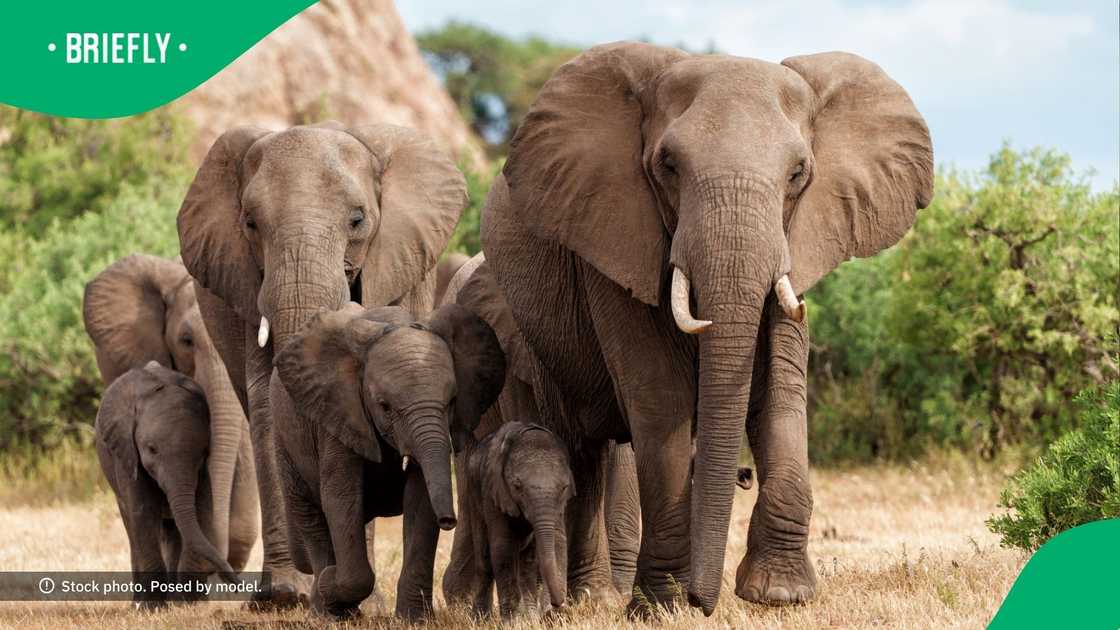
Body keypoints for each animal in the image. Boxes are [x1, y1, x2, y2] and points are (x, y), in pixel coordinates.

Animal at [95, 362, 239, 608]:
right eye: (152, 449)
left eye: (203, 452)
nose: (238, 584)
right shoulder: (125, 452)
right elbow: (143, 511)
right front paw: (151, 608)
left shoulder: (202, 471)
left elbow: (200, 509)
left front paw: (191, 603)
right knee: (133, 529)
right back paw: (139, 603)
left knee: (173, 531)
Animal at [272, 303, 505, 619]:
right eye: (384, 406)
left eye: (452, 402)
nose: (449, 520)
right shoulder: (339, 413)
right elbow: (340, 498)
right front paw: (331, 582)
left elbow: (420, 500)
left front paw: (415, 619)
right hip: (284, 438)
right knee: (311, 516)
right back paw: (327, 607)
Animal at [459, 421, 574, 618]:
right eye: (517, 486)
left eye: (564, 487)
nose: (558, 604)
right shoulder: (493, 491)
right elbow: (503, 547)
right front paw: (513, 622)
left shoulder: (559, 505)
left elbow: (558, 540)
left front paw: (549, 617)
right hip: (473, 492)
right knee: (485, 558)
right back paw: (480, 619)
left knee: (527, 562)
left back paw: (531, 617)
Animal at [479, 42, 933, 615]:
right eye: (668, 166)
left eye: (798, 173)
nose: (706, 600)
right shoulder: (614, 235)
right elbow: (660, 397)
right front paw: (664, 606)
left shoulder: (796, 243)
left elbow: (780, 392)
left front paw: (779, 595)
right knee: (579, 451)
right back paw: (587, 602)